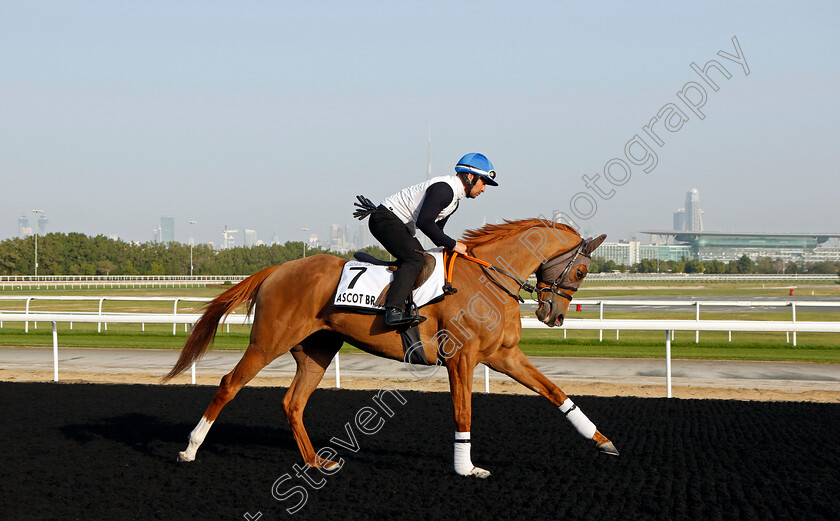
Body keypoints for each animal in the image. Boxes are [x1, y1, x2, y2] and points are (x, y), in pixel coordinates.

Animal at [164, 217, 616, 478]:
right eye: (581, 270)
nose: (554, 315)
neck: (489, 278)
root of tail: (278, 268)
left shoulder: (504, 355)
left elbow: (555, 392)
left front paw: (602, 440)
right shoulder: (462, 358)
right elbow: (463, 411)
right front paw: (466, 467)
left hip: (317, 349)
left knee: (293, 402)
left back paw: (315, 462)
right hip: (268, 341)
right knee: (229, 384)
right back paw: (189, 449)